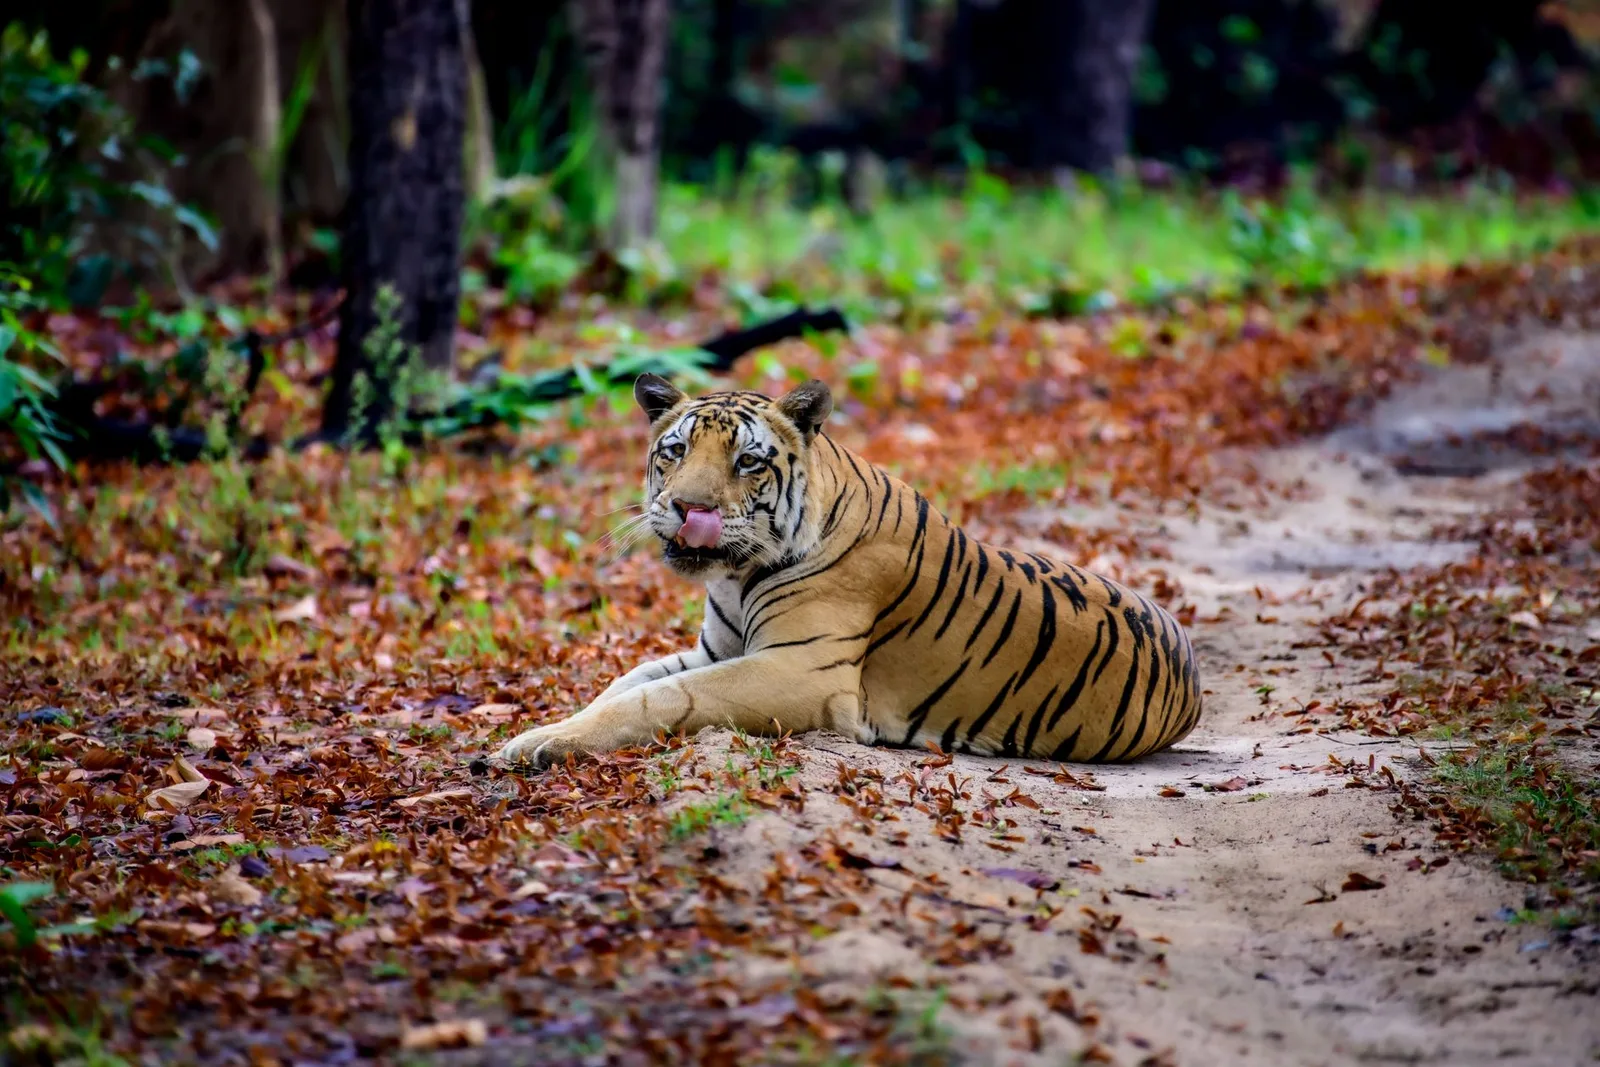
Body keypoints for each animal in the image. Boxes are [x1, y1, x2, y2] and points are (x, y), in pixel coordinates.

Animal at [495, 374, 1202, 769]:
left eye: (747, 462)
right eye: (675, 451)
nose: (689, 509)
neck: (737, 574)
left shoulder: (799, 670)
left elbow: (660, 697)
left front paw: (535, 747)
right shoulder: (717, 649)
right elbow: (624, 682)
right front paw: (538, 731)